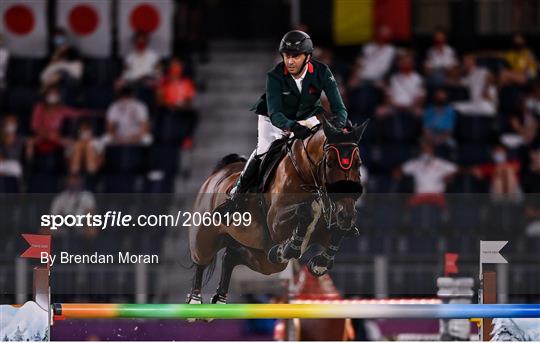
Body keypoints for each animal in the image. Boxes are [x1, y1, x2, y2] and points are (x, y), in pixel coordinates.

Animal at [188, 119, 370, 306]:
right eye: (330, 163)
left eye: (358, 164)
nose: (346, 215)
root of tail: (218, 173)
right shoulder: (276, 223)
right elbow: (305, 211)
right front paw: (289, 248)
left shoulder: (324, 229)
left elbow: (337, 231)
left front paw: (320, 263)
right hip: (205, 236)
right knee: (201, 260)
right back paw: (195, 301)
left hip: (264, 258)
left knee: (231, 256)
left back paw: (220, 299)